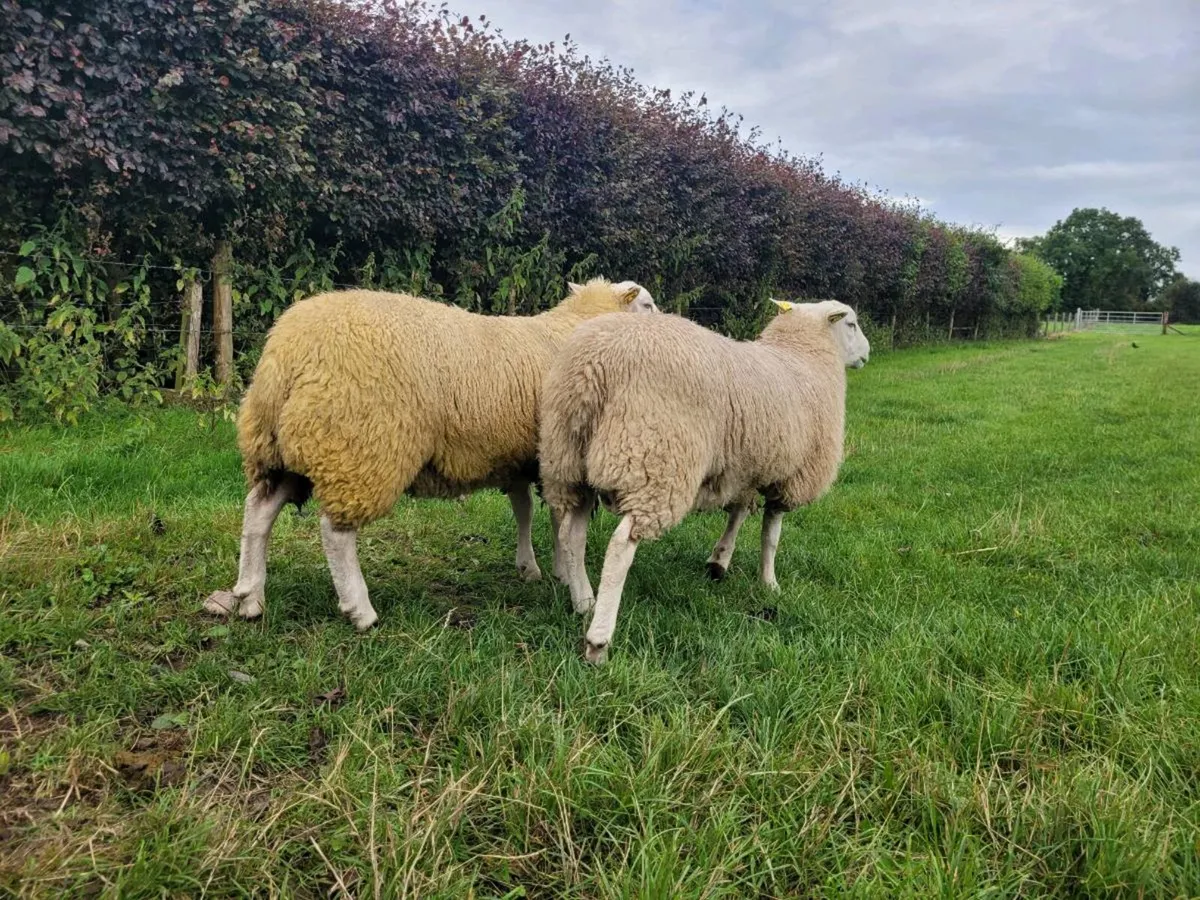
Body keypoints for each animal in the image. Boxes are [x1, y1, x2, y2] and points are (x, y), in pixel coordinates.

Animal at [204, 277, 658, 630]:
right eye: (649, 305)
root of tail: (286, 350)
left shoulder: (523, 459)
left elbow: (529, 512)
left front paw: (536, 568)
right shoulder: (557, 457)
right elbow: (561, 523)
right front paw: (567, 577)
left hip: (283, 450)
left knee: (258, 513)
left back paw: (250, 597)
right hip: (359, 448)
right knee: (336, 534)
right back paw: (360, 610)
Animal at [539, 298, 870, 663]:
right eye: (851, 323)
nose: (867, 354)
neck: (803, 353)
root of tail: (591, 366)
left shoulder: (745, 471)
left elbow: (737, 516)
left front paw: (719, 562)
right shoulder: (793, 476)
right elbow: (771, 535)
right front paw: (769, 583)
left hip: (568, 461)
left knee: (571, 535)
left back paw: (584, 601)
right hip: (654, 460)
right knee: (620, 546)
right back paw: (599, 640)